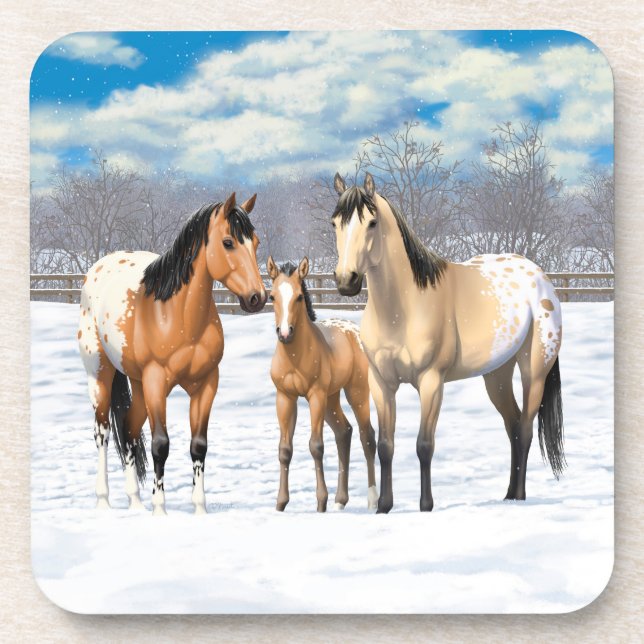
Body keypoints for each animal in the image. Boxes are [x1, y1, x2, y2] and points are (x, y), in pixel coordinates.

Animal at [78, 192, 267, 515]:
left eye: (255, 242)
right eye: (228, 242)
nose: (257, 298)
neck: (177, 316)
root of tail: (98, 268)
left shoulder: (206, 384)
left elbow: (198, 445)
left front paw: (199, 509)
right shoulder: (156, 382)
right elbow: (160, 445)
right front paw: (160, 510)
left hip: (138, 384)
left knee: (128, 431)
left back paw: (135, 502)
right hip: (101, 375)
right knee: (102, 432)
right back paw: (104, 501)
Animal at [267, 256, 378, 512]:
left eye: (299, 296)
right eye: (272, 296)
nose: (285, 333)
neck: (295, 357)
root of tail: (353, 331)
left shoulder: (315, 395)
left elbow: (316, 446)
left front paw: (321, 503)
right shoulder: (284, 397)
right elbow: (284, 450)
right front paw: (280, 504)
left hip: (355, 392)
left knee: (367, 436)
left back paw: (372, 500)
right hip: (331, 398)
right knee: (344, 432)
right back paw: (340, 501)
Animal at [331, 172, 565, 513]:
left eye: (371, 223)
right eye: (334, 222)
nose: (346, 281)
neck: (404, 307)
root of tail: (540, 276)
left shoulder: (431, 381)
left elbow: (424, 445)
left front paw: (426, 505)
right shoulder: (381, 383)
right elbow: (386, 445)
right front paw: (384, 506)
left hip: (533, 372)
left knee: (524, 428)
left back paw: (519, 496)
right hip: (496, 376)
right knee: (512, 426)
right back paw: (508, 495)